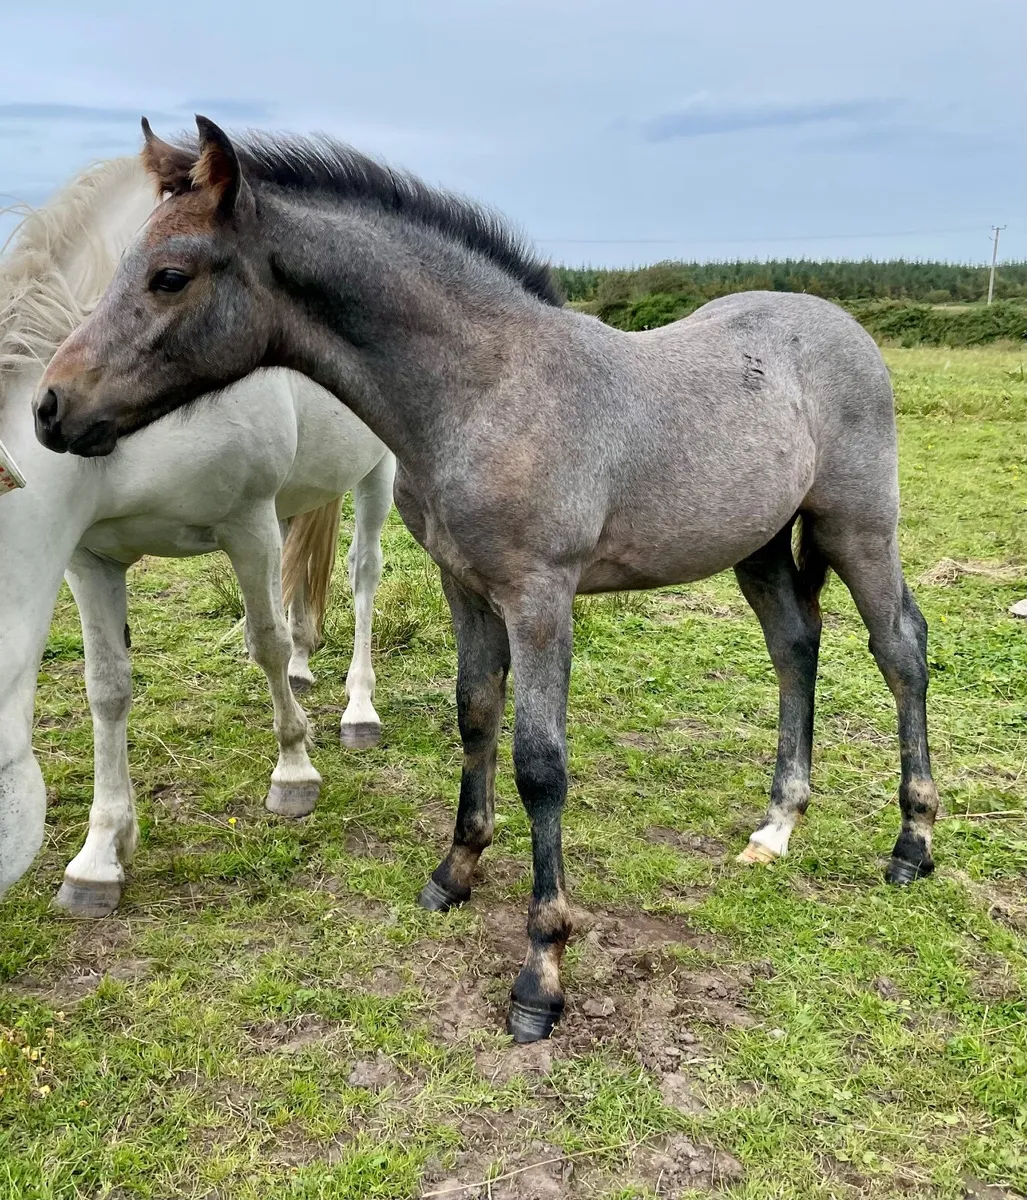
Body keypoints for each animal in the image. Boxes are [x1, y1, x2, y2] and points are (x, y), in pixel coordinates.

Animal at [0, 154, 396, 916]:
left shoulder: (246, 523)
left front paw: (294, 773)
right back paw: (306, 668)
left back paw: (358, 710)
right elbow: (107, 687)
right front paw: (100, 855)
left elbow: (263, 643)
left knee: (362, 575)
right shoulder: (90, 558)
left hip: (379, 472)